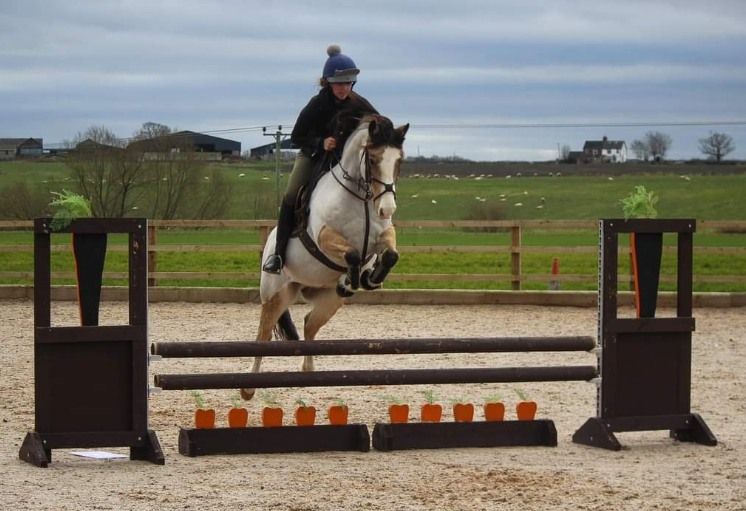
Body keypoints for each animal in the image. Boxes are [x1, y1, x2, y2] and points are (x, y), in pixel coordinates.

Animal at [241, 114, 406, 402]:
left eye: (399, 161)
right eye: (373, 160)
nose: (387, 209)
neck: (360, 198)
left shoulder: (383, 235)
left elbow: (390, 254)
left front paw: (369, 278)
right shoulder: (324, 237)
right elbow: (352, 253)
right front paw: (354, 277)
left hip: (329, 300)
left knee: (309, 324)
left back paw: (308, 370)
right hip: (276, 293)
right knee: (263, 335)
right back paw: (248, 388)